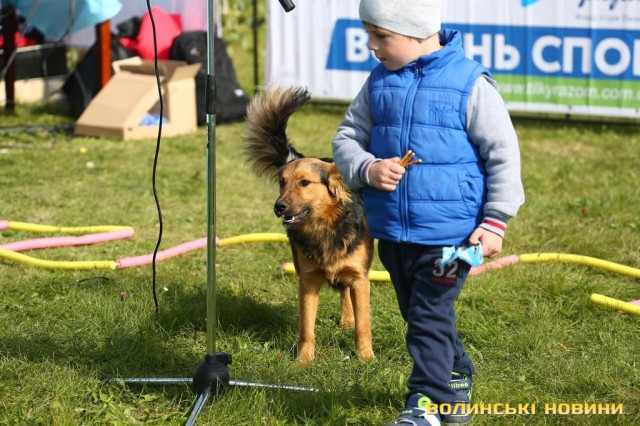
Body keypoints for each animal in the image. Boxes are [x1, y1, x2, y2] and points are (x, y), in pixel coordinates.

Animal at [243, 86, 374, 365]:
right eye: (281, 182)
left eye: (304, 183)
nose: (279, 206)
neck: (325, 227)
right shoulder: (308, 280)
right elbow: (306, 328)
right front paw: (303, 362)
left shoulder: (360, 277)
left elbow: (363, 325)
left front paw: (366, 358)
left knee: (346, 293)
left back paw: (347, 319)